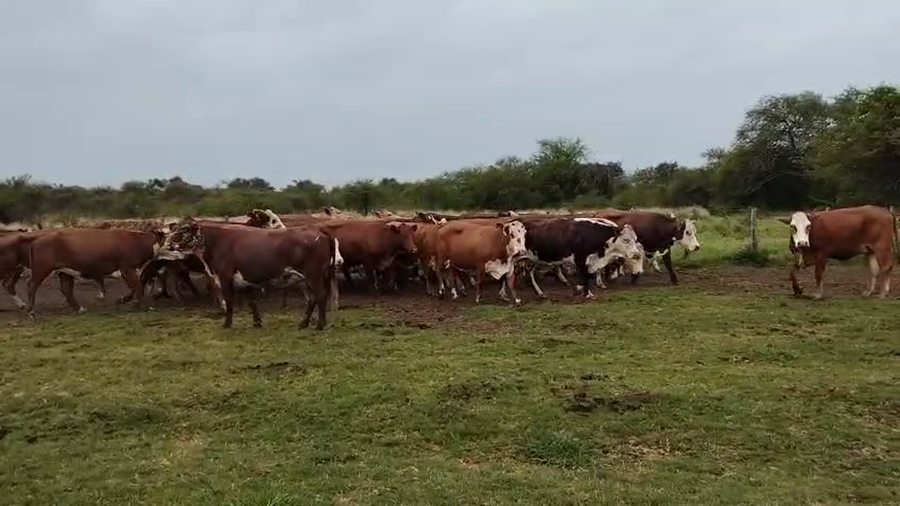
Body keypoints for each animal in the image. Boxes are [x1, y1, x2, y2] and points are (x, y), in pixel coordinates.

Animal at [24, 228, 168, 317]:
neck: (137, 241)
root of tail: (37, 240)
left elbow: (136, 286)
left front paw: (125, 300)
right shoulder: (126, 268)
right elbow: (137, 286)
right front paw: (143, 306)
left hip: (65, 271)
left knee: (66, 289)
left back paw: (79, 309)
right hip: (42, 269)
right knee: (32, 285)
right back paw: (30, 311)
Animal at [158, 219, 339, 330]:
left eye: (184, 229)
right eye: (175, 228)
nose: (167, 243)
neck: (217, 241)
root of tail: (319, 230)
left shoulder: (225, 277)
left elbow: (229, 302)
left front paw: (227, 324)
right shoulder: (245, 280)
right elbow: (252, 302)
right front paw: (257, 322)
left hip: (313, 275)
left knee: (320, 296)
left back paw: (320, 324)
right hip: (312, 277)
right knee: (314, 298)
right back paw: (304, 323)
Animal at [512, 218, 644, 299]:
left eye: (635, 239)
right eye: (626, 240)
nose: (636, 254)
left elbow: (587, 276)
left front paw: (579, 289)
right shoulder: (581, 260)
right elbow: (585, 277)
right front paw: (588, 294)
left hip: (532, 259)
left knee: (530, 273)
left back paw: (539, 292)